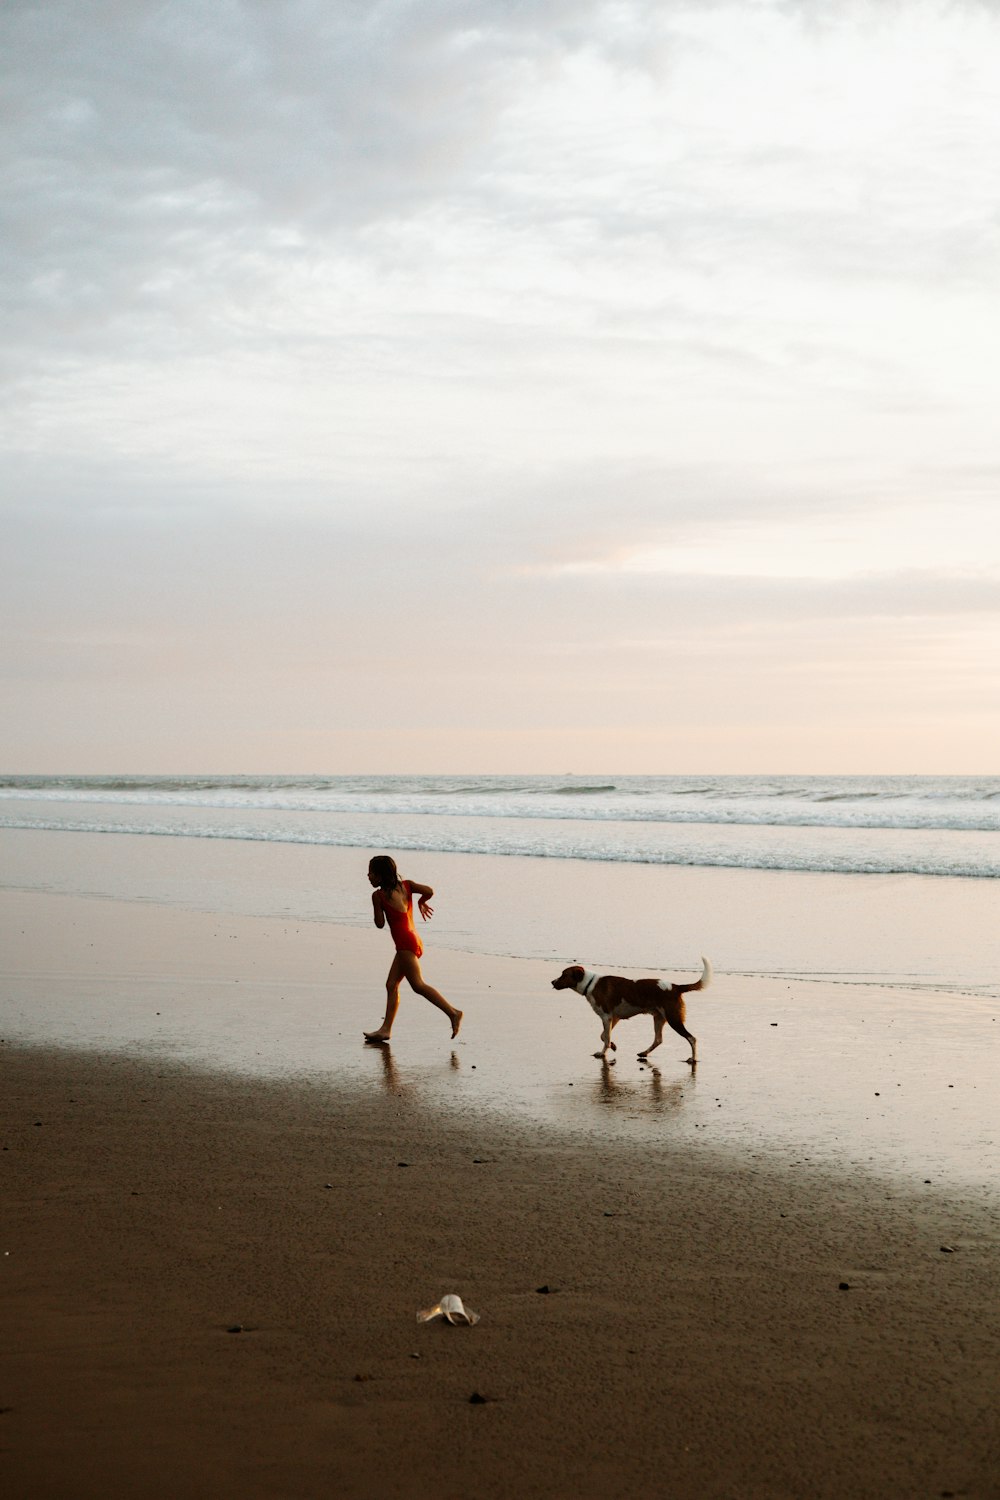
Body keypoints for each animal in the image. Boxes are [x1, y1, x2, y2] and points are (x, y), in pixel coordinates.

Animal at [554, 960, 710, 1068]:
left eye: (563, 975)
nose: (552, 982)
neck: (590, 983)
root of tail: (676, 987)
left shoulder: (606, 1016)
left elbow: (605, 1037)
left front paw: (603, 1052)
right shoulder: (614, 1017)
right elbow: (604, 1036)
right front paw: (613, 1045)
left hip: (673, 1019)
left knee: (692, 1038)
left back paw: (693, 1059)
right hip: (658, 1018)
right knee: (658, 1039)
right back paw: (644, 1053)